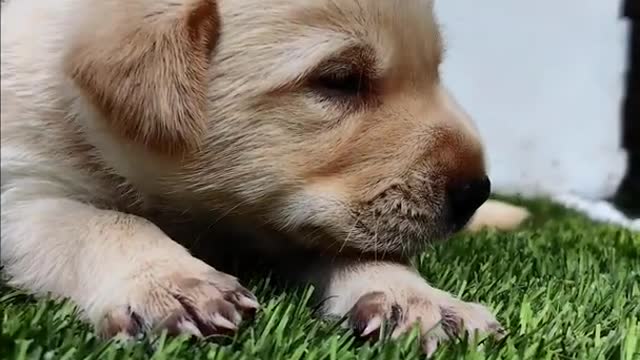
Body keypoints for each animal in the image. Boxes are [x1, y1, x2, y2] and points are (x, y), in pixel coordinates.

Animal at [0, 0, 528, 354]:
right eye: (339, 80)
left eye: (436, 69)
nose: (476, 191)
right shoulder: (19, 188)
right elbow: (100, 222)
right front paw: (169, 281)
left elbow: (360, 247)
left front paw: (413, 298)